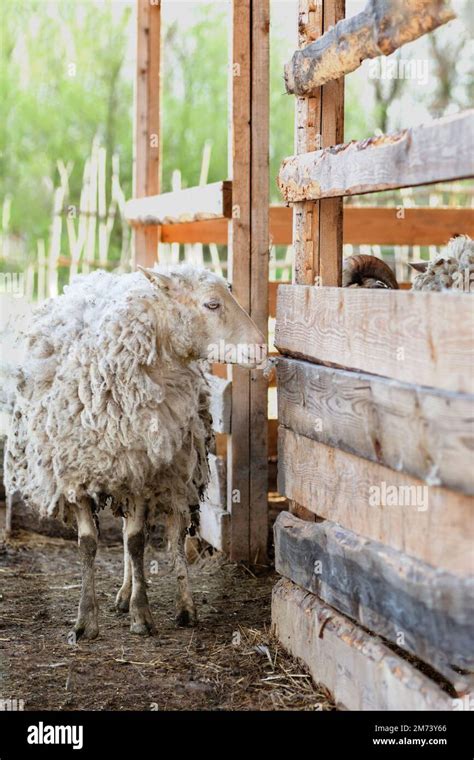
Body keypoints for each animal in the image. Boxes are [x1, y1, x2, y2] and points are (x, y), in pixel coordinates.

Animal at [3, 264, 264, 640]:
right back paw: (124, 596)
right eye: (212, 304)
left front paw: (141, 615)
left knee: (173, 535)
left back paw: (182, 607)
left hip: (176, 470)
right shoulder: (78, 474)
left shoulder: (144, 470)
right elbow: (88, 544)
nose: (261, 348)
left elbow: (137, 541)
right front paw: (85, 621)